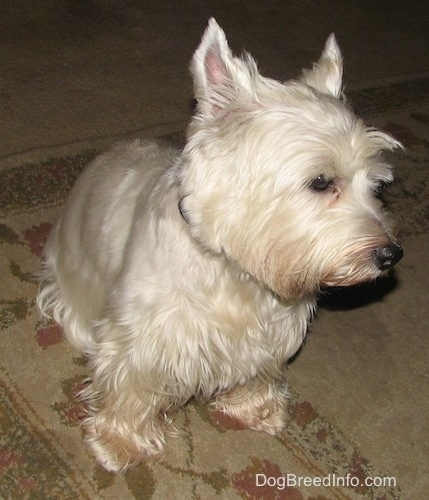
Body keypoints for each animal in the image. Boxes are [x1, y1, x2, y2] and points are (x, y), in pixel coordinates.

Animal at [36, 20, 402, 472]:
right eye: (321, 181)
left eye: (377, 185)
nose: (391, 254)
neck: (235, 270)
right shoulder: (141, 336)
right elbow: (130, 385)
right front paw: (119, 444)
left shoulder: (270, 334)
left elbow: (260, 370)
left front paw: (256, 409)